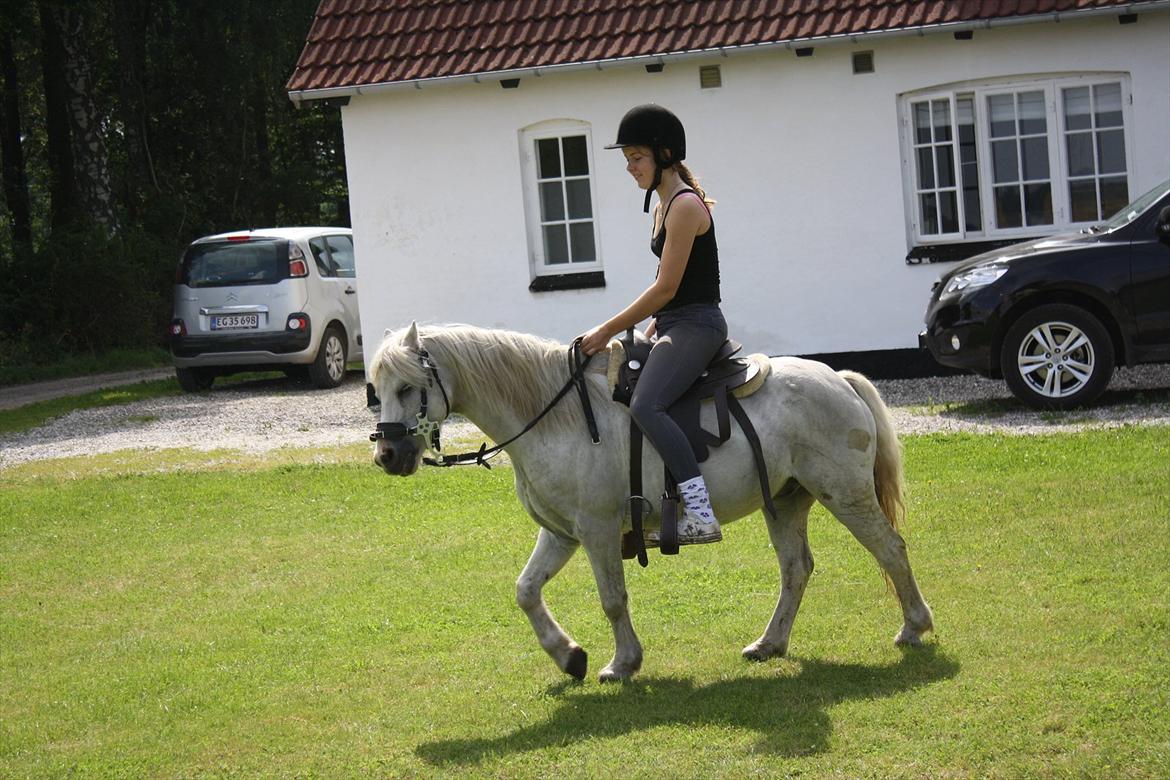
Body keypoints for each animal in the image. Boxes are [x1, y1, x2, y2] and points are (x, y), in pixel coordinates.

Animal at [369, 322, 935, 682]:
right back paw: (770, 643)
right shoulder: (561, 532)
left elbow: (612, 599)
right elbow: (525, 591)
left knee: (890, 549)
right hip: (788, 502)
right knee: (796, 569)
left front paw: (623, 663)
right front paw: (569, 657)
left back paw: (914, 626)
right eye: (376, 389)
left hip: (847, 494)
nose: (387, 454)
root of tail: (840, 379)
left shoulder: (596, 531)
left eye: (409, 386)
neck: (556, 415)